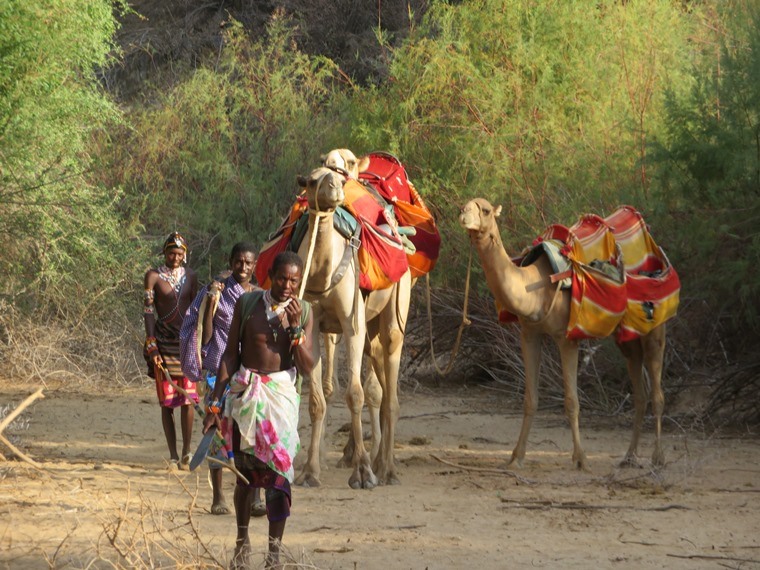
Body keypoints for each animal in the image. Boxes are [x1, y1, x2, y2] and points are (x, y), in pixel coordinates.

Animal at [460, 197, 680, 468]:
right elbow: (530, 399)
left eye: (485, 210)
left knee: (657, 392)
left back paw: (658, 457)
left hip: (655, 325)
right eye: (464, 205)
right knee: (639, 391)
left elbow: (571, 401)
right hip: (628, 337)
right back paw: (629, 456)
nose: (463, 214)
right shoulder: (529, 334)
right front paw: (516, 456)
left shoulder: (566, 339)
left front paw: (580, 459)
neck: (535, 287)